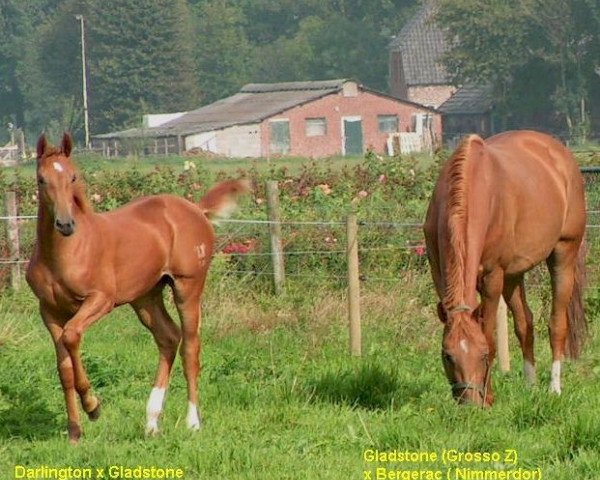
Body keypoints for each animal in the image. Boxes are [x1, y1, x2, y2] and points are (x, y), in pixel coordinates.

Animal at [426, 130, 584, 404]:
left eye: (482, 355)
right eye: (448, 355)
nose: (469, 403)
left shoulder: (493, 277)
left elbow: (489, 335)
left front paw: (489, 399)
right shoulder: (440, 274)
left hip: (564, 254)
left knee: (556, 324)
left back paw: (554, 388)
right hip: (513, 275)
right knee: (525, 324)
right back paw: (530, 386)